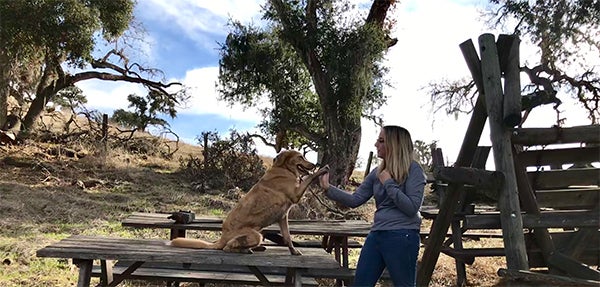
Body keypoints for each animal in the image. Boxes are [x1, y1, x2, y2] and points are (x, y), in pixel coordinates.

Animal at [169, 150, 328, 255]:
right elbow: (309, 177)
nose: (314, 164)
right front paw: (321, 170)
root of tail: (222, 238)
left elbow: (288, 238)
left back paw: (256, 248)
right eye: (301, 157)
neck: (284, 169)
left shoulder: (283, 217)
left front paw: (294, 251)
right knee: (228, 247)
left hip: (259, 233)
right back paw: (246, 250)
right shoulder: (296, 194)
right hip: (256, 235)